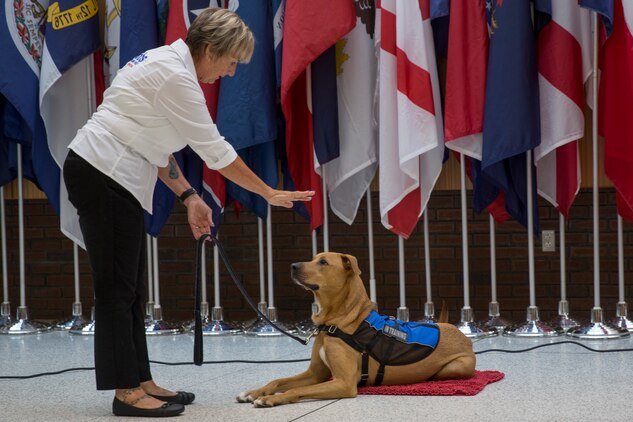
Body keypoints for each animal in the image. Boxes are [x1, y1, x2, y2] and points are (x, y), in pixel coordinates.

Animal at [237, 252, 474, 408]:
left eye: (323, 262)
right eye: (313, 258)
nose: (293, 265)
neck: (338, 321)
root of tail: (458, 333)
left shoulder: (344, 383)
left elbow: (296, 390)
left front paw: (271, 398)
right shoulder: (316, 374)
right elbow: (278, 380)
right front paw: (253, 392)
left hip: (455, 367)